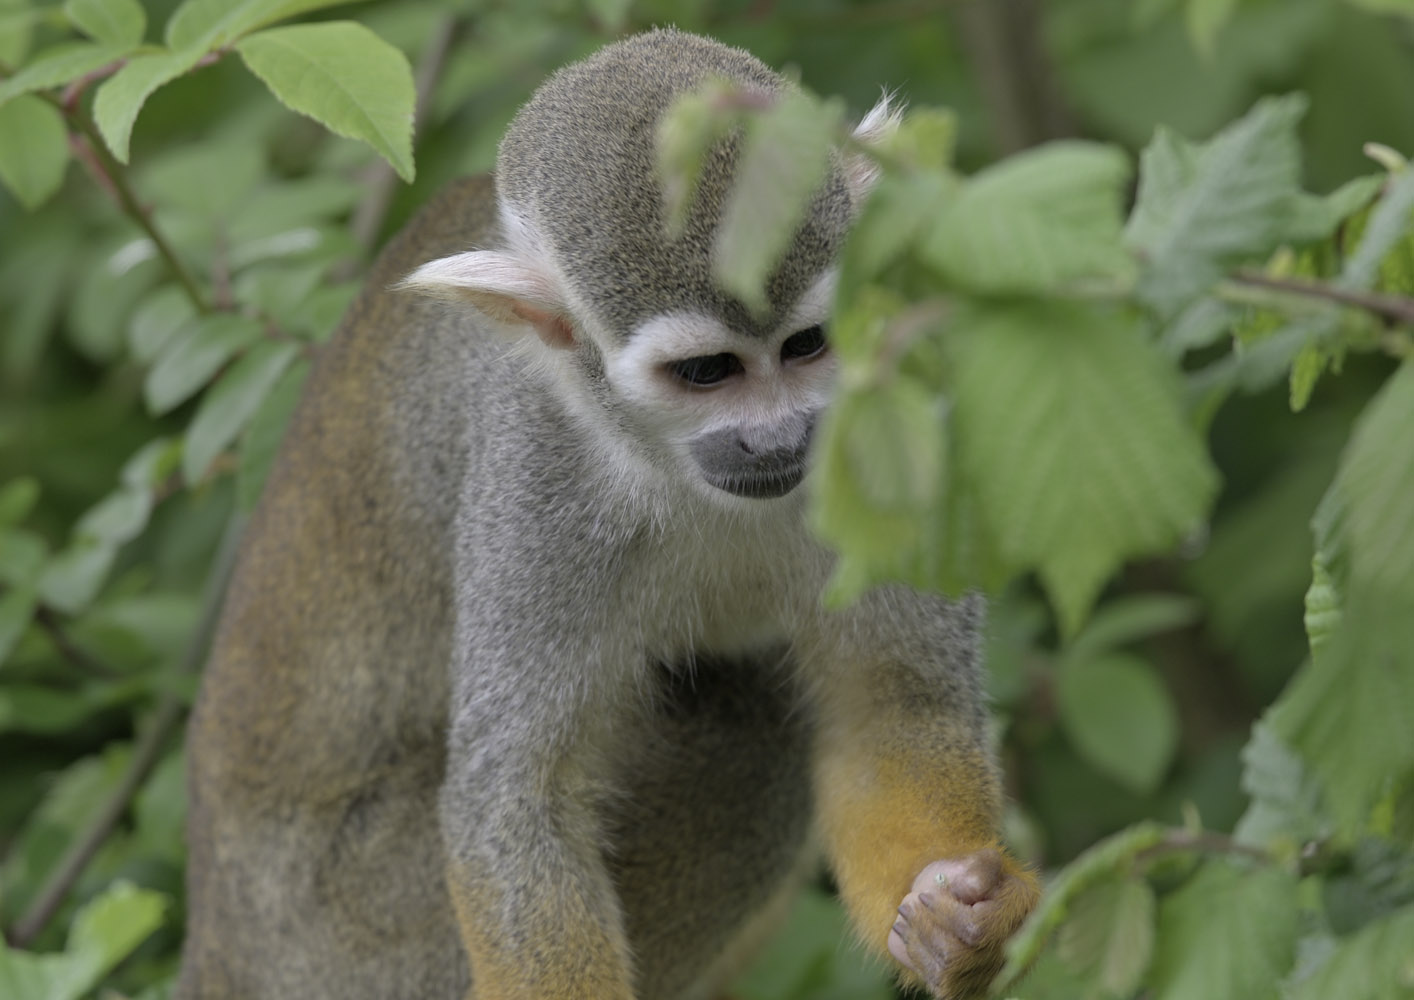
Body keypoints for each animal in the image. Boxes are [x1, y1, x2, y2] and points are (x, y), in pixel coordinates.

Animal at [175, 27, 1038, 1000]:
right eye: (706, 373)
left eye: (807, 346)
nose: (779, 438)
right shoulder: (537, 475)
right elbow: (518, 804)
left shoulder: (886, 405)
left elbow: (896, 698)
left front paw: (959, 923)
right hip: (355, 939)